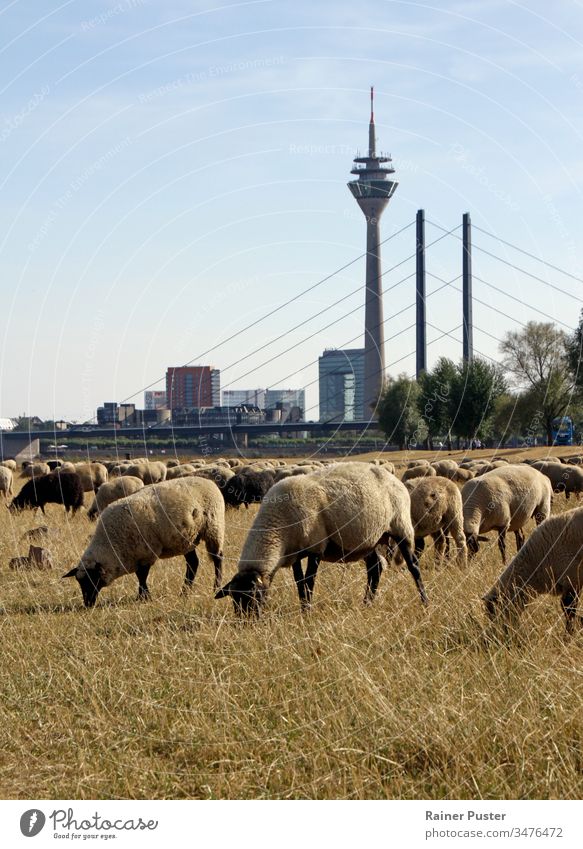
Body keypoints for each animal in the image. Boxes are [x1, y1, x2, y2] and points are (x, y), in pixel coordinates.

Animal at [64, 474, 226, 608]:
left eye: (92, 579)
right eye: (80, 582)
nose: (87, 604)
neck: (111, 545)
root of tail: (209, 481)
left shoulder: (146, 554)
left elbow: (142, 576)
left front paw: (144, 597)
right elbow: (140, 576)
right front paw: (143, 596)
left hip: (214, 528)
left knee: (217, 558)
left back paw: (215, 586)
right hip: (188, 539)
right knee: (193, 563)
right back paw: (185, 591)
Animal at [213, 460, 424, 612]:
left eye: (254, 597)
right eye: (235, 599)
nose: (246, 623)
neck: (277, 528)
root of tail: (393, 478)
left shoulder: (316, 548)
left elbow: (309, 582)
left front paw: (307, 612)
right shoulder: (295, 553)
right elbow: (299, 583)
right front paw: (303, 608)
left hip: (401, 527)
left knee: (413, 567)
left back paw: (425, 602)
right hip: (368, 540)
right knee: (374, 570)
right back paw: (367, 604)